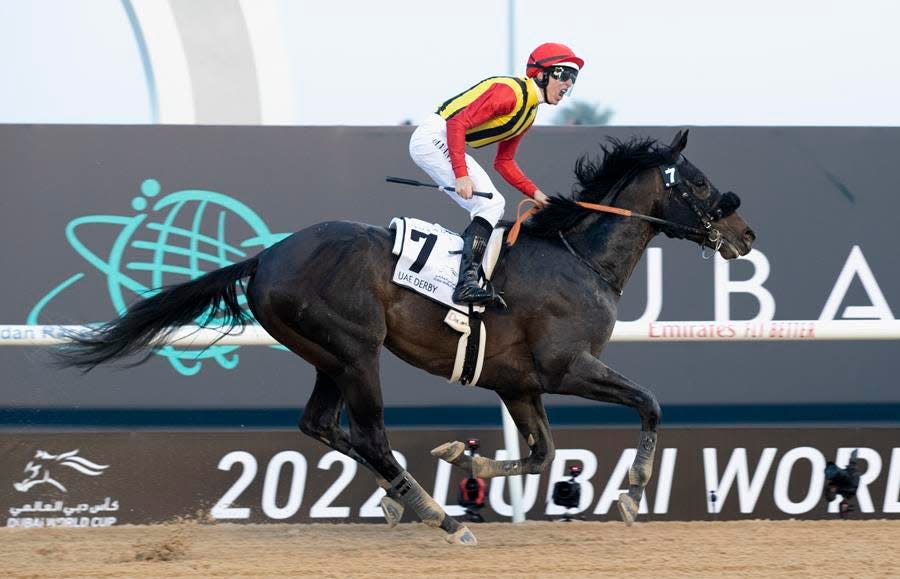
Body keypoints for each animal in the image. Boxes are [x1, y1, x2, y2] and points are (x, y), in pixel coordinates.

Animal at [54, 130, 752, 544]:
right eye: (699, 183)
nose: (746, 235)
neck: (579, 259)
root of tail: (267, 256)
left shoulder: (519, 384)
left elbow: (541, 453)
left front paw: (466, 458)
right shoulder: (565, 367)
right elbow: (649, 404)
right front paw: (632, 492)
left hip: (327, 355)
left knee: (321, 424)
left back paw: (403, 500)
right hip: (358, 353)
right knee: (367, 433)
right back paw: (438, 517)